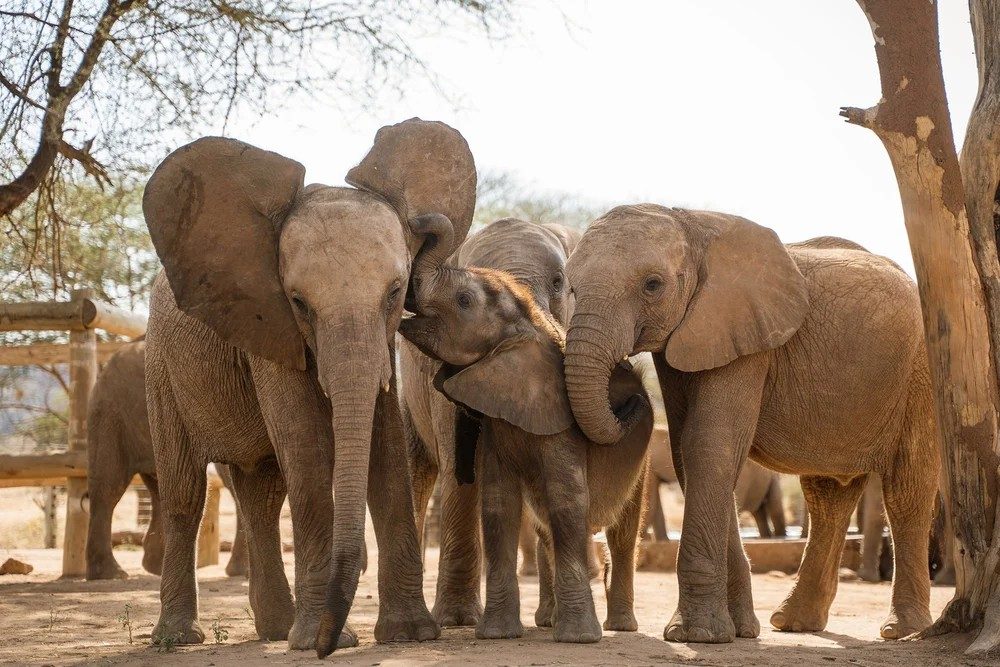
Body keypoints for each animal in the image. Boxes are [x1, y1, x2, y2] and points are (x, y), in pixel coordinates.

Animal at [142, 118, 476, 656]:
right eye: (298, 302)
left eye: (395, 292)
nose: (326, 646)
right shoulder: (268, 322)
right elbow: (306, 445)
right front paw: (323, 640)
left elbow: (384, 447)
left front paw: (408, 635)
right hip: (160, 365)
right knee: (184, 492)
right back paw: (178, 638)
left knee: (261, 491)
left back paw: (276, 630)